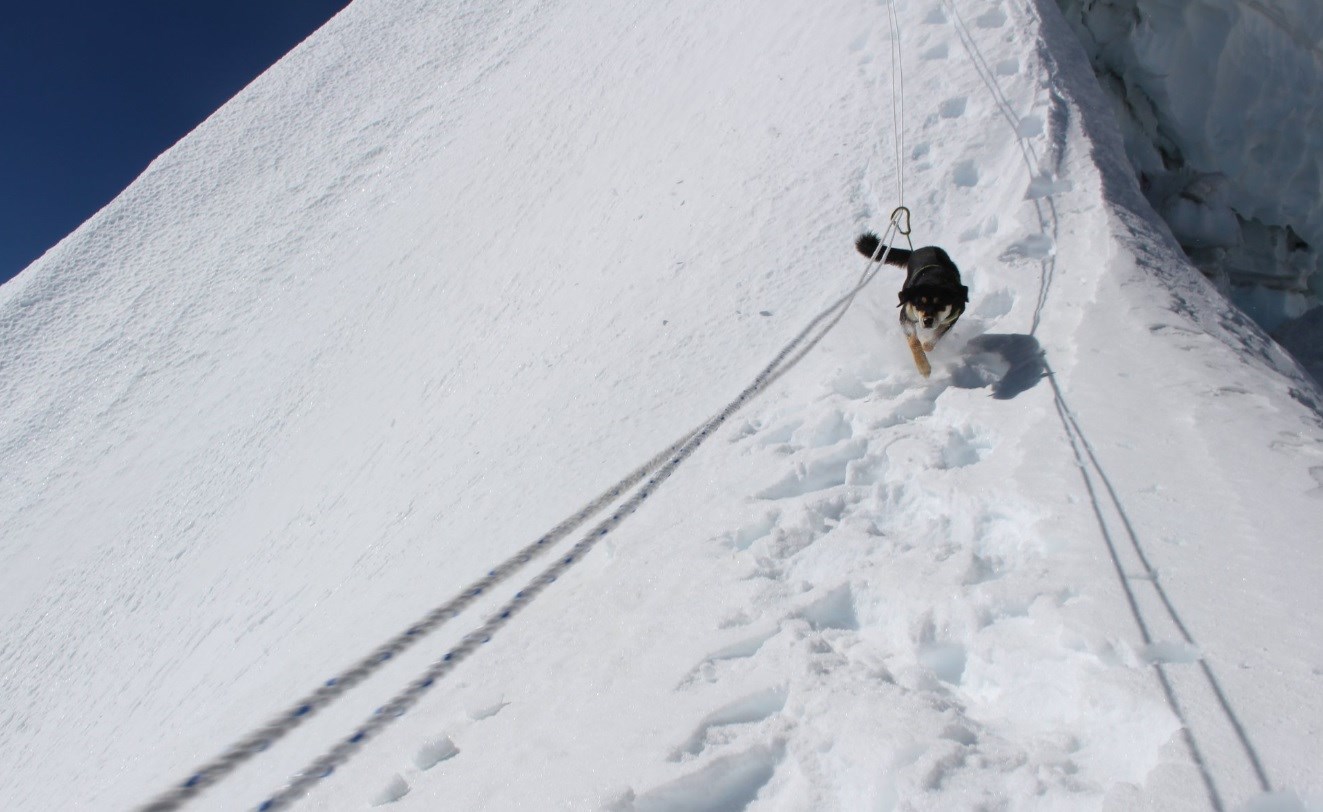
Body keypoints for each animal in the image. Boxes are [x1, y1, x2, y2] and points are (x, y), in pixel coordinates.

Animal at [852, 232, 968, 378]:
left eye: (940, 304)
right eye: (918, 304)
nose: (927, 321)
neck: (933, 279)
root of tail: (919, 250)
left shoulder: (953, 316)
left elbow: (934, 338)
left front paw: (927, 345)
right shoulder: (906, 314)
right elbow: (914, 341)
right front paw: (923, 367)